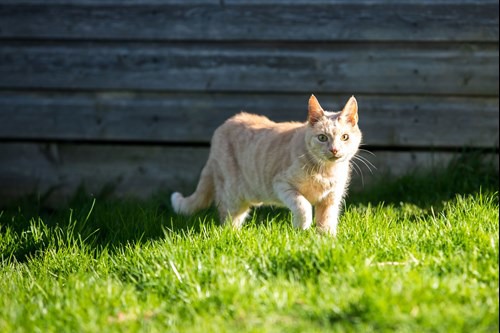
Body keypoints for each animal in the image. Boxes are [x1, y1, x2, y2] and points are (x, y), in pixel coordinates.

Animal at [170, 93, 362, 235]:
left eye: (345, 137)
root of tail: (220, 129)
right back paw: (233, 237)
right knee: (227, 218)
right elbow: (303, 206)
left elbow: (327, 223)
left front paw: (325, 240)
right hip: (232, 196)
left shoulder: (331, 200)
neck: (325, 171)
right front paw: (302, 227)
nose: (334, 150)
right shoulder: (281, 184)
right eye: (322, 137)